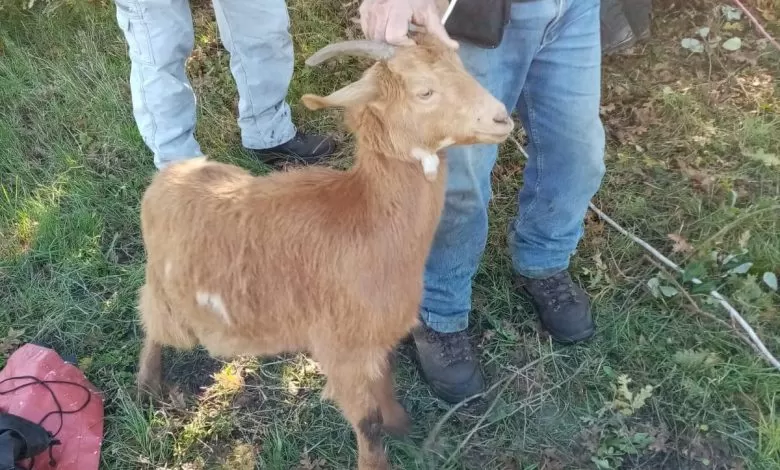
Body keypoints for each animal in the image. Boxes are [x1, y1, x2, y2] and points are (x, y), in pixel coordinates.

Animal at [136, 33, 512, 470]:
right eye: (425, 92)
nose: (502, 119)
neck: (366, 217)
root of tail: (166, 178)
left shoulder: (373, 337)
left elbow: (385, 381)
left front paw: (402, 425)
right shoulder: (341, 348)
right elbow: (366, 422)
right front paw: (378, 456)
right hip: (166, 293)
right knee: (153, 324)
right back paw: (147, 386)